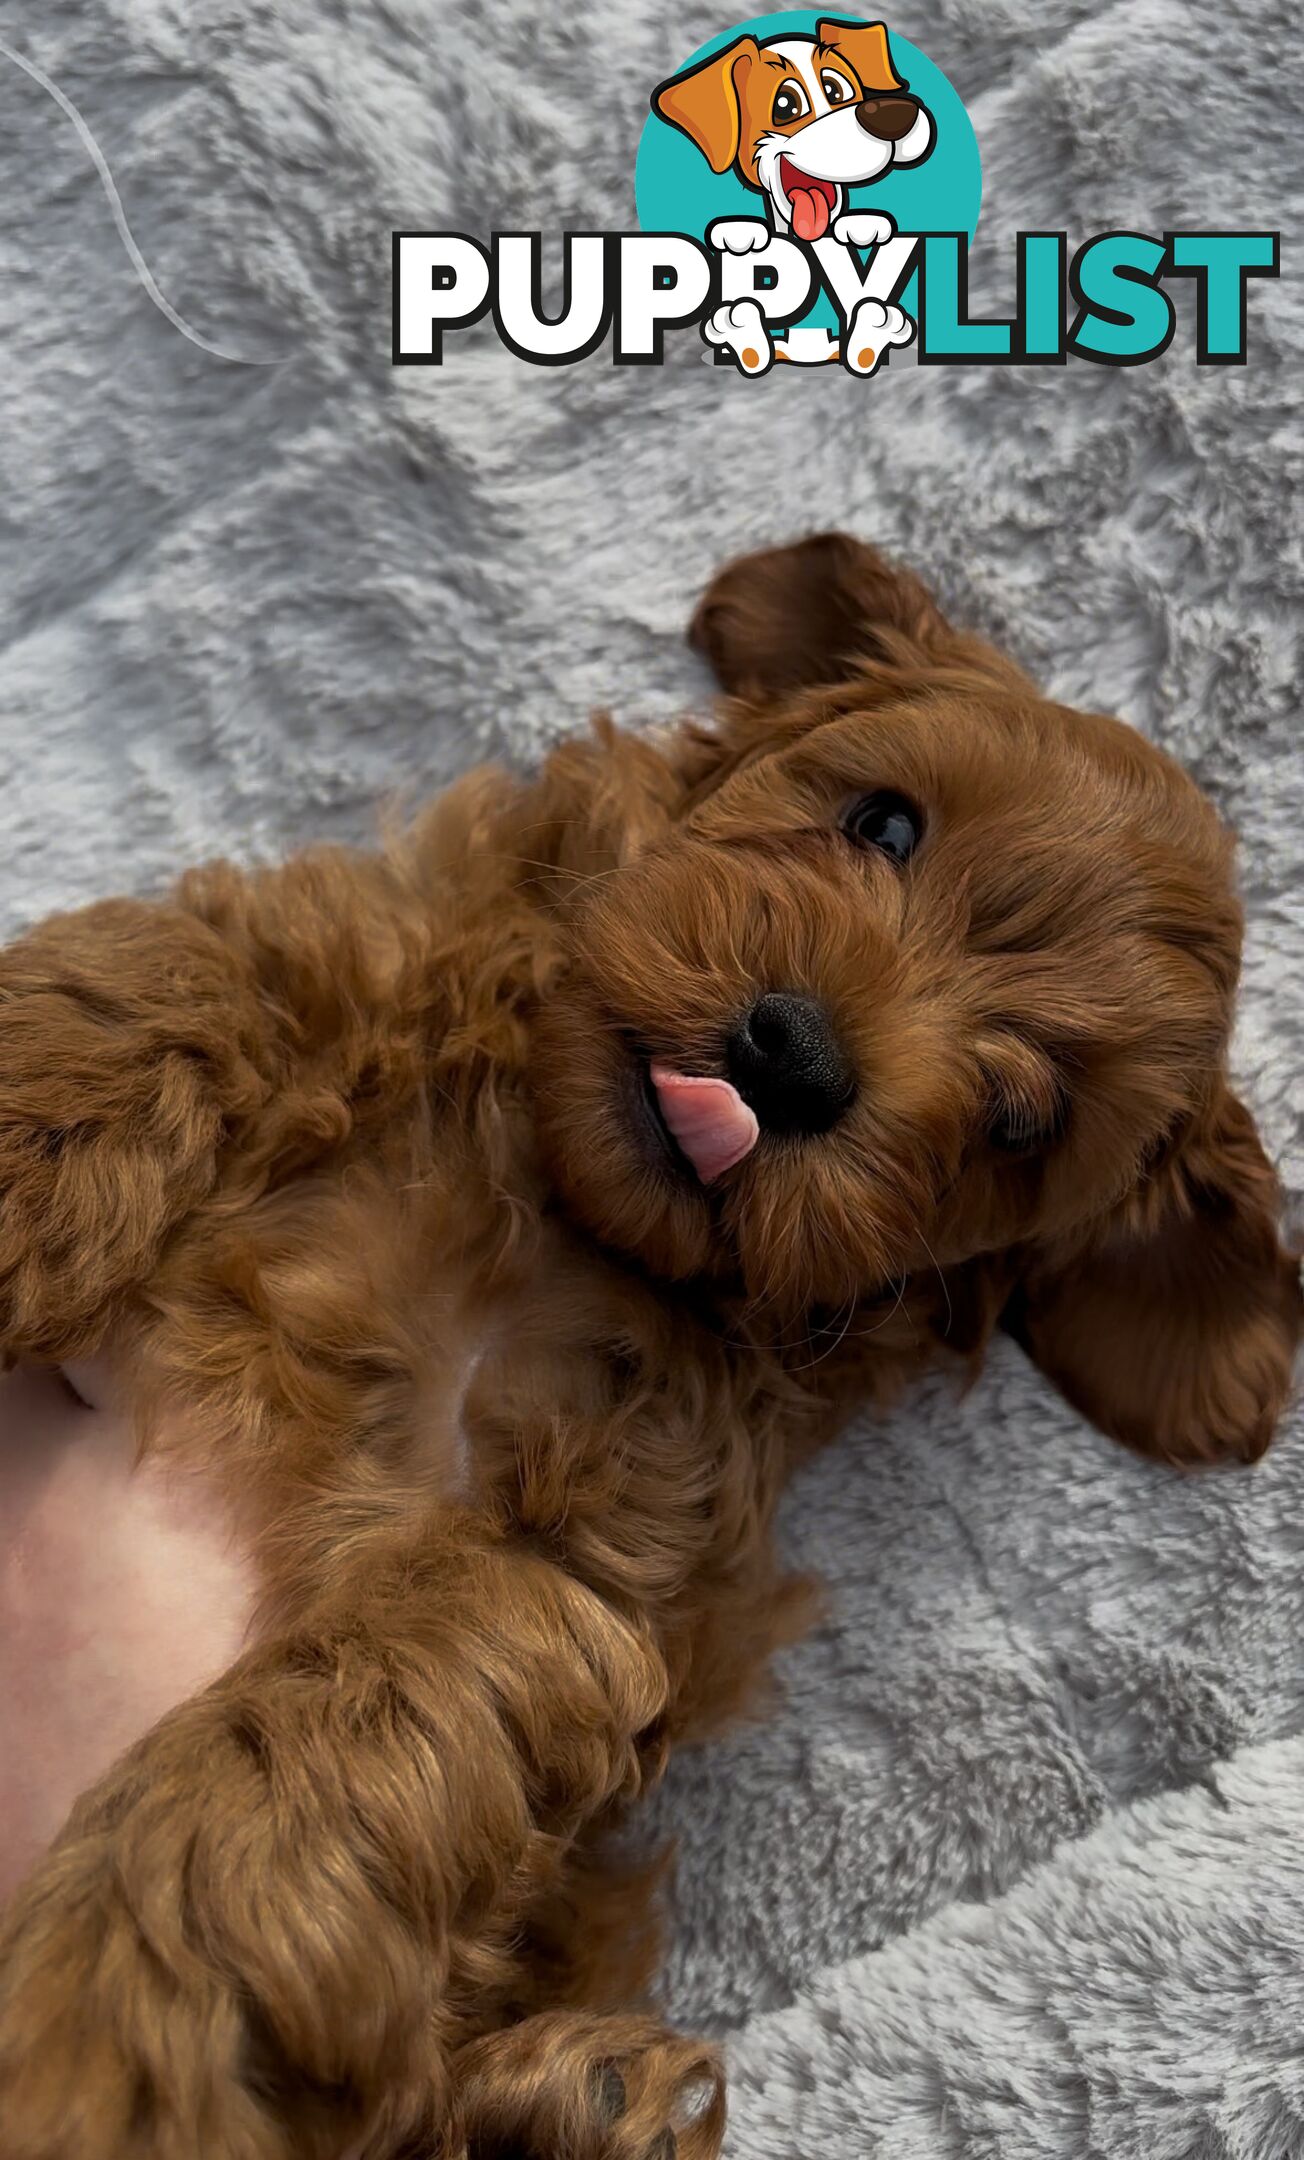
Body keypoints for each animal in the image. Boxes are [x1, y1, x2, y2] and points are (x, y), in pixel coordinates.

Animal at [0, 527, 1295, 2160]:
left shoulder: (561, 1567)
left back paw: (570, 2105)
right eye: (881, 822)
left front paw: (100, 2021)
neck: (556, 1203)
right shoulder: (374, 940)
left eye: (1018, 1121)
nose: (792, 1057)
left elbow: (307, 1749)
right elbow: (180, 970)